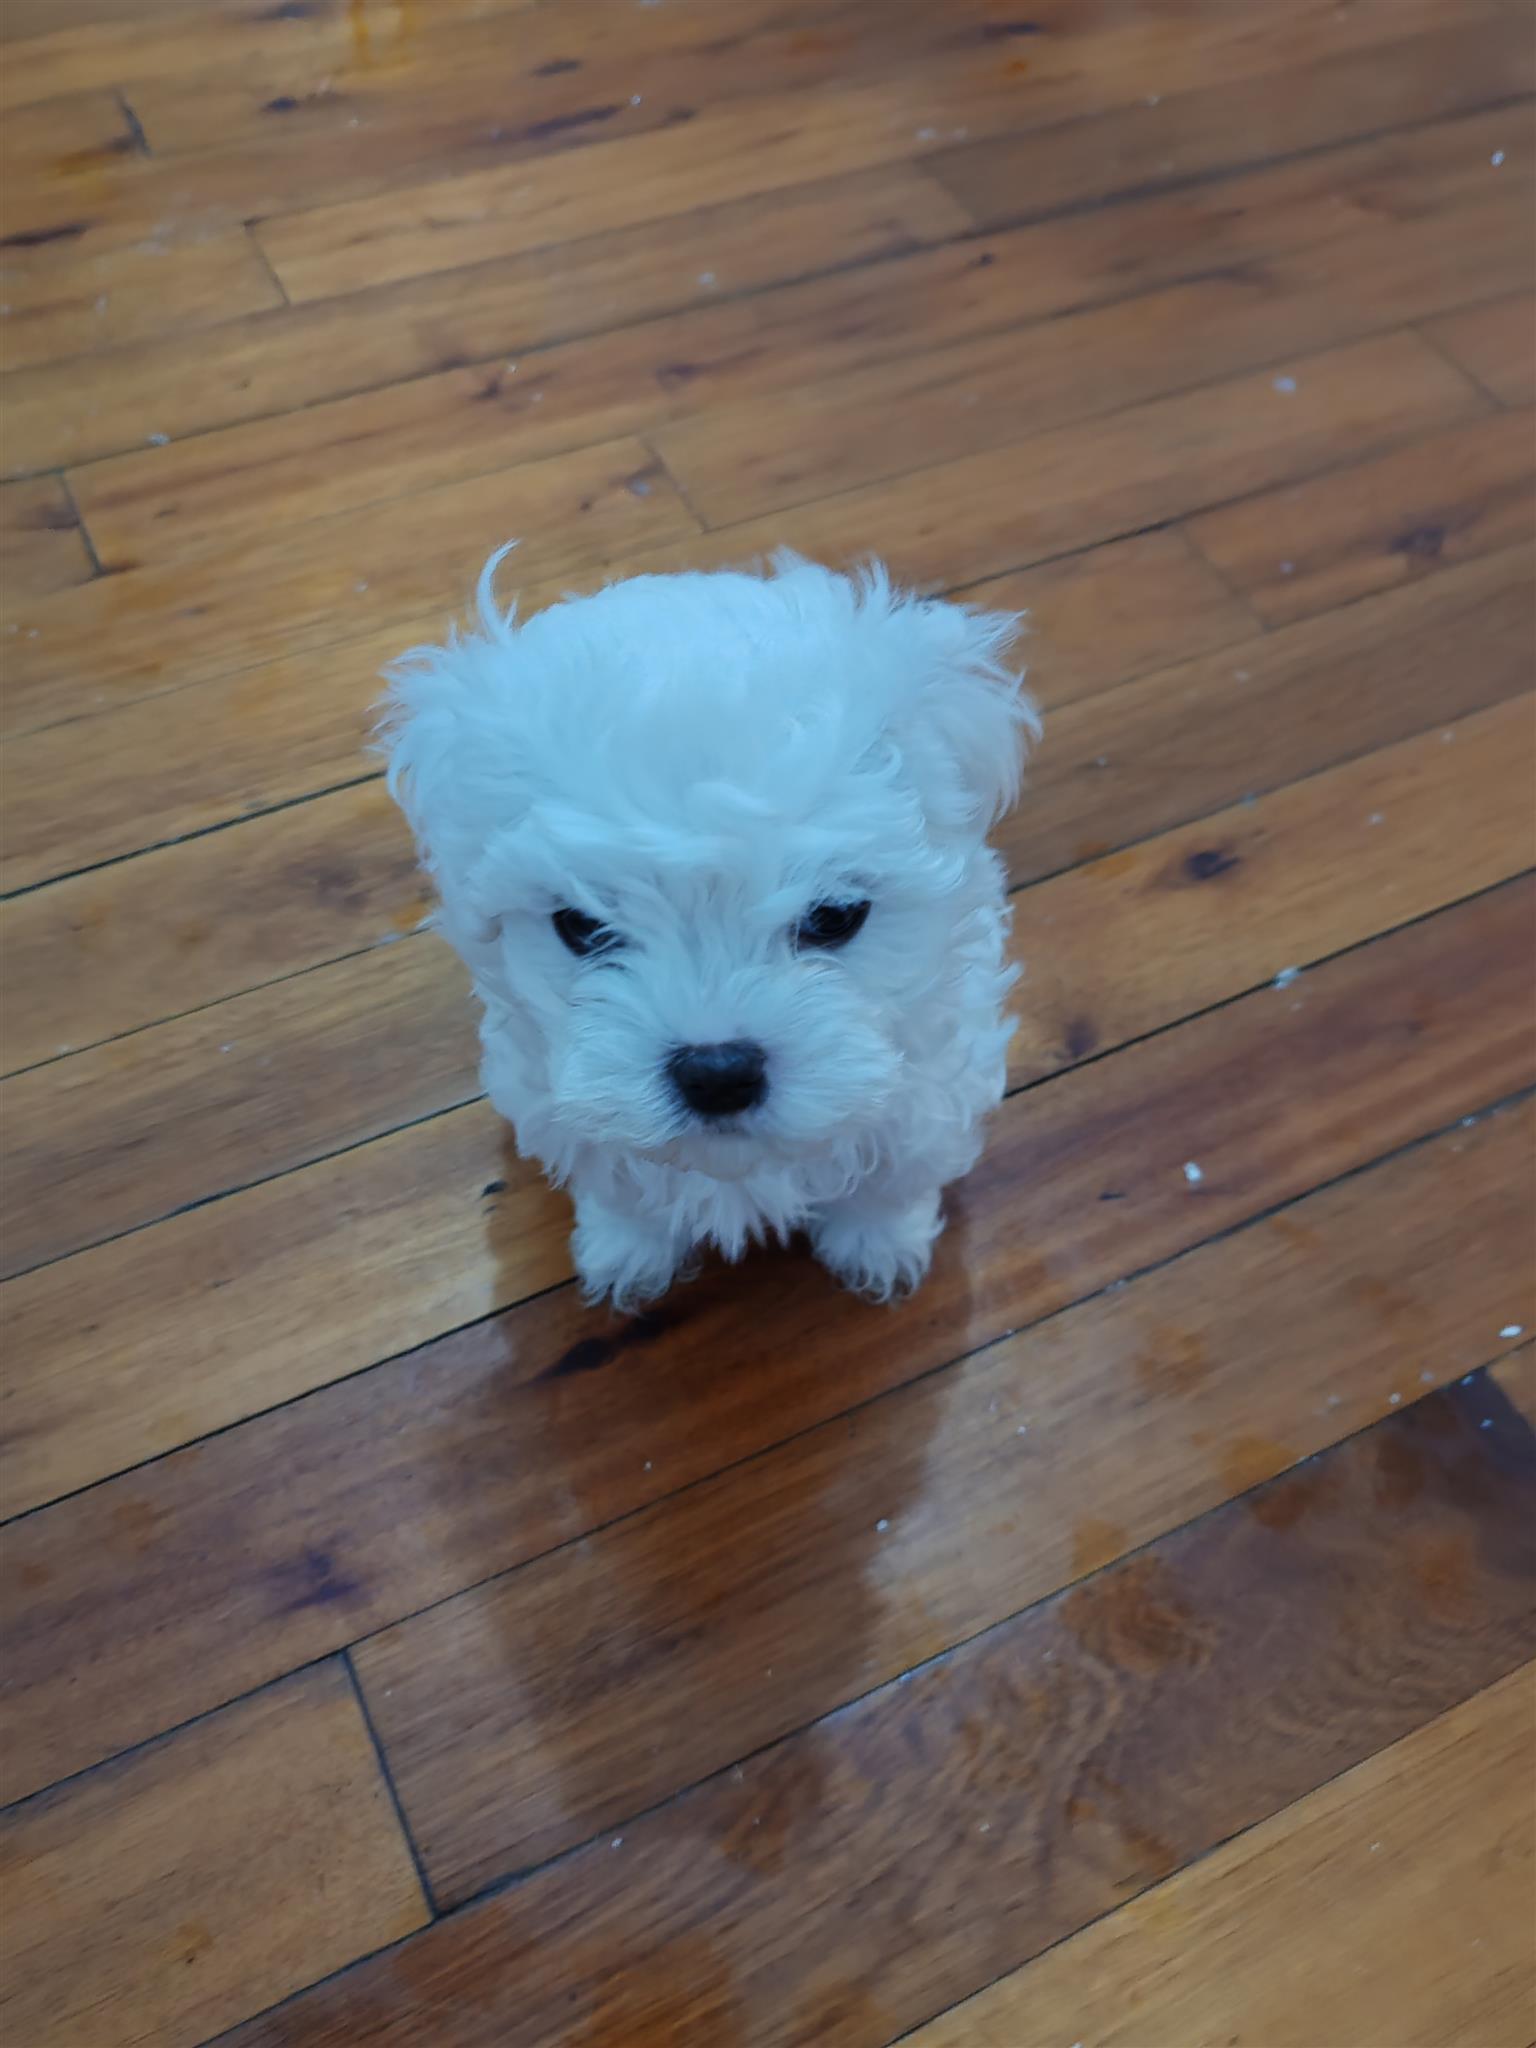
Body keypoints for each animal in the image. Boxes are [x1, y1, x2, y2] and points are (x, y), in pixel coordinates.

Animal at [378, 552, 1040, 1302]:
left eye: (834, 917)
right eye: (581, 925)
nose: (718, 1072)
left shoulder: (931, 1092)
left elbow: (894, 1176)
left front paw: (879, 1244)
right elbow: (621, 1187)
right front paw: (625, 1250)